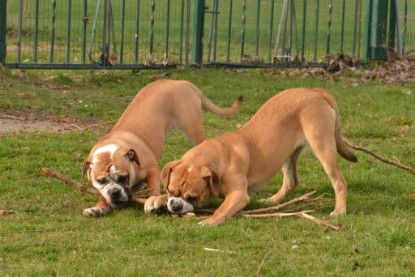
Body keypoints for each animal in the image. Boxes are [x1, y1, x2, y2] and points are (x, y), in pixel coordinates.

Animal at [82, 78, 242, 217]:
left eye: (123, 177)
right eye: (101, 181)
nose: (114, 192)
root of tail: (181, 82)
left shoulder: (152, 169)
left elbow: (153, 188)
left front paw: (152, 201)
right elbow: (103, 197)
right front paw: (98, 207)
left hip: (193, 129)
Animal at [145, 88, 358, 224]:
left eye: (192, 197)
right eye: (171, 191)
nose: (175, 205)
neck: (217, 157)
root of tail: (315, 91)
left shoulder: (238, 195)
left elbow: (222, 209)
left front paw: (210, 221)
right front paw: (155, 199)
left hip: (323, 147)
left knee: (339, 182)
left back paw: (339, 210)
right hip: (286, 153)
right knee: (291, 181)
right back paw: (271, 201)